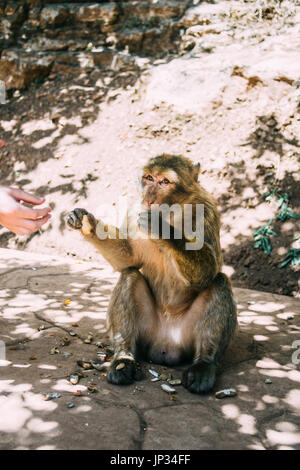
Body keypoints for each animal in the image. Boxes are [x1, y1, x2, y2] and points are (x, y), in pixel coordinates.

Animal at [67, 154, 237, 392]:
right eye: (149, 178)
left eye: (164, 181)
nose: (149, 197)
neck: (173, 212)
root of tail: (165, 347)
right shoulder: (134, 210)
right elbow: (130, 258)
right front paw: (88, 223)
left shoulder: (206, 209)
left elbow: (210, 270)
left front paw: (162, 228)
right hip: (147, 333)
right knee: (129, 275)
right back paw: (124, 358)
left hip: (186, 335)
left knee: (219, 281)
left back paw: (205, 363)